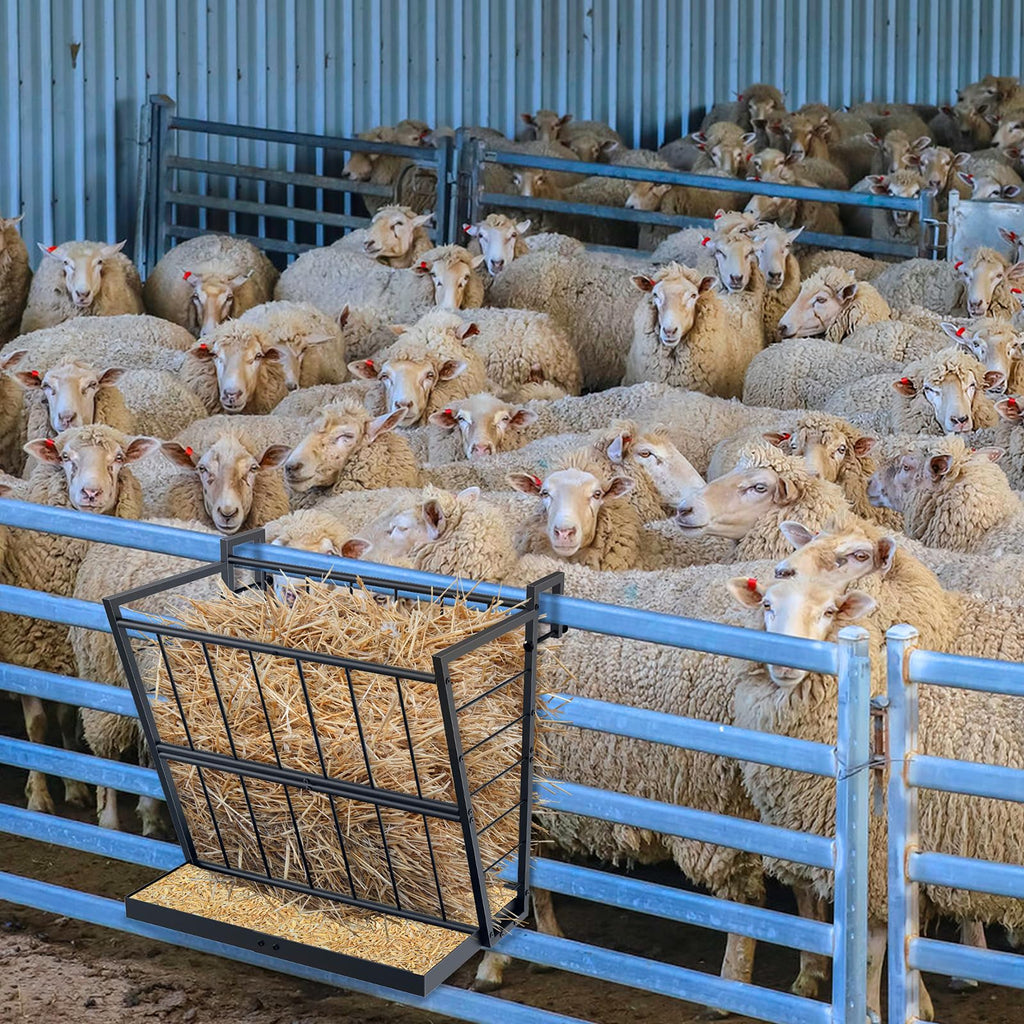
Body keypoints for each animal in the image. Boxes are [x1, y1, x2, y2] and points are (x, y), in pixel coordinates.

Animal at [1, 426, 158, 814]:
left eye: (119, 458)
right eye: (65, 458)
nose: (91, 493)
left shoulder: (69, 661)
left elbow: (66, 720)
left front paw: (75, 786)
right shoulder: (24, 656)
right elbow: (37, 726)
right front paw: (39, 795)